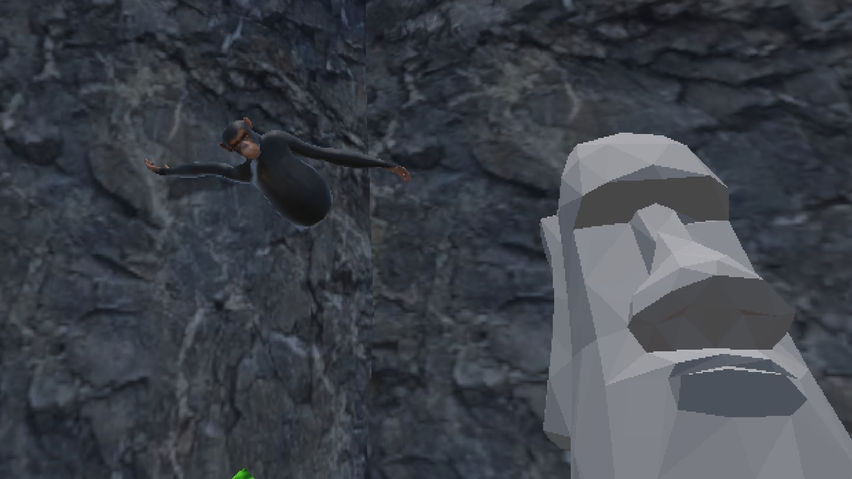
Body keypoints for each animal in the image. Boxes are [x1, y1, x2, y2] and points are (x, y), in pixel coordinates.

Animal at [144, 117, 410, 227]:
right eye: (235, 145)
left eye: (244, 136)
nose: (246, 147)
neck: (262, 155)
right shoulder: (242, 170)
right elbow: (213, 168)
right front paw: (163, 170)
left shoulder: (279, 136)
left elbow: (323, 152)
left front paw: (393, 167)